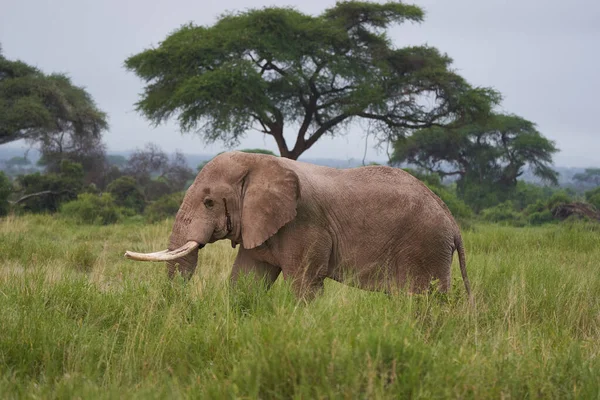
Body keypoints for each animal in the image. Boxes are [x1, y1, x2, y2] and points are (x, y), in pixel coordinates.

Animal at [125, 152, 474, 302]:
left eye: (209, 203)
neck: (259, 163)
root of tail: (452, 221)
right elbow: (246, 282)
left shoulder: (303, 224)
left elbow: (305, 285)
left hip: (424, 245)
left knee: (423, 300)